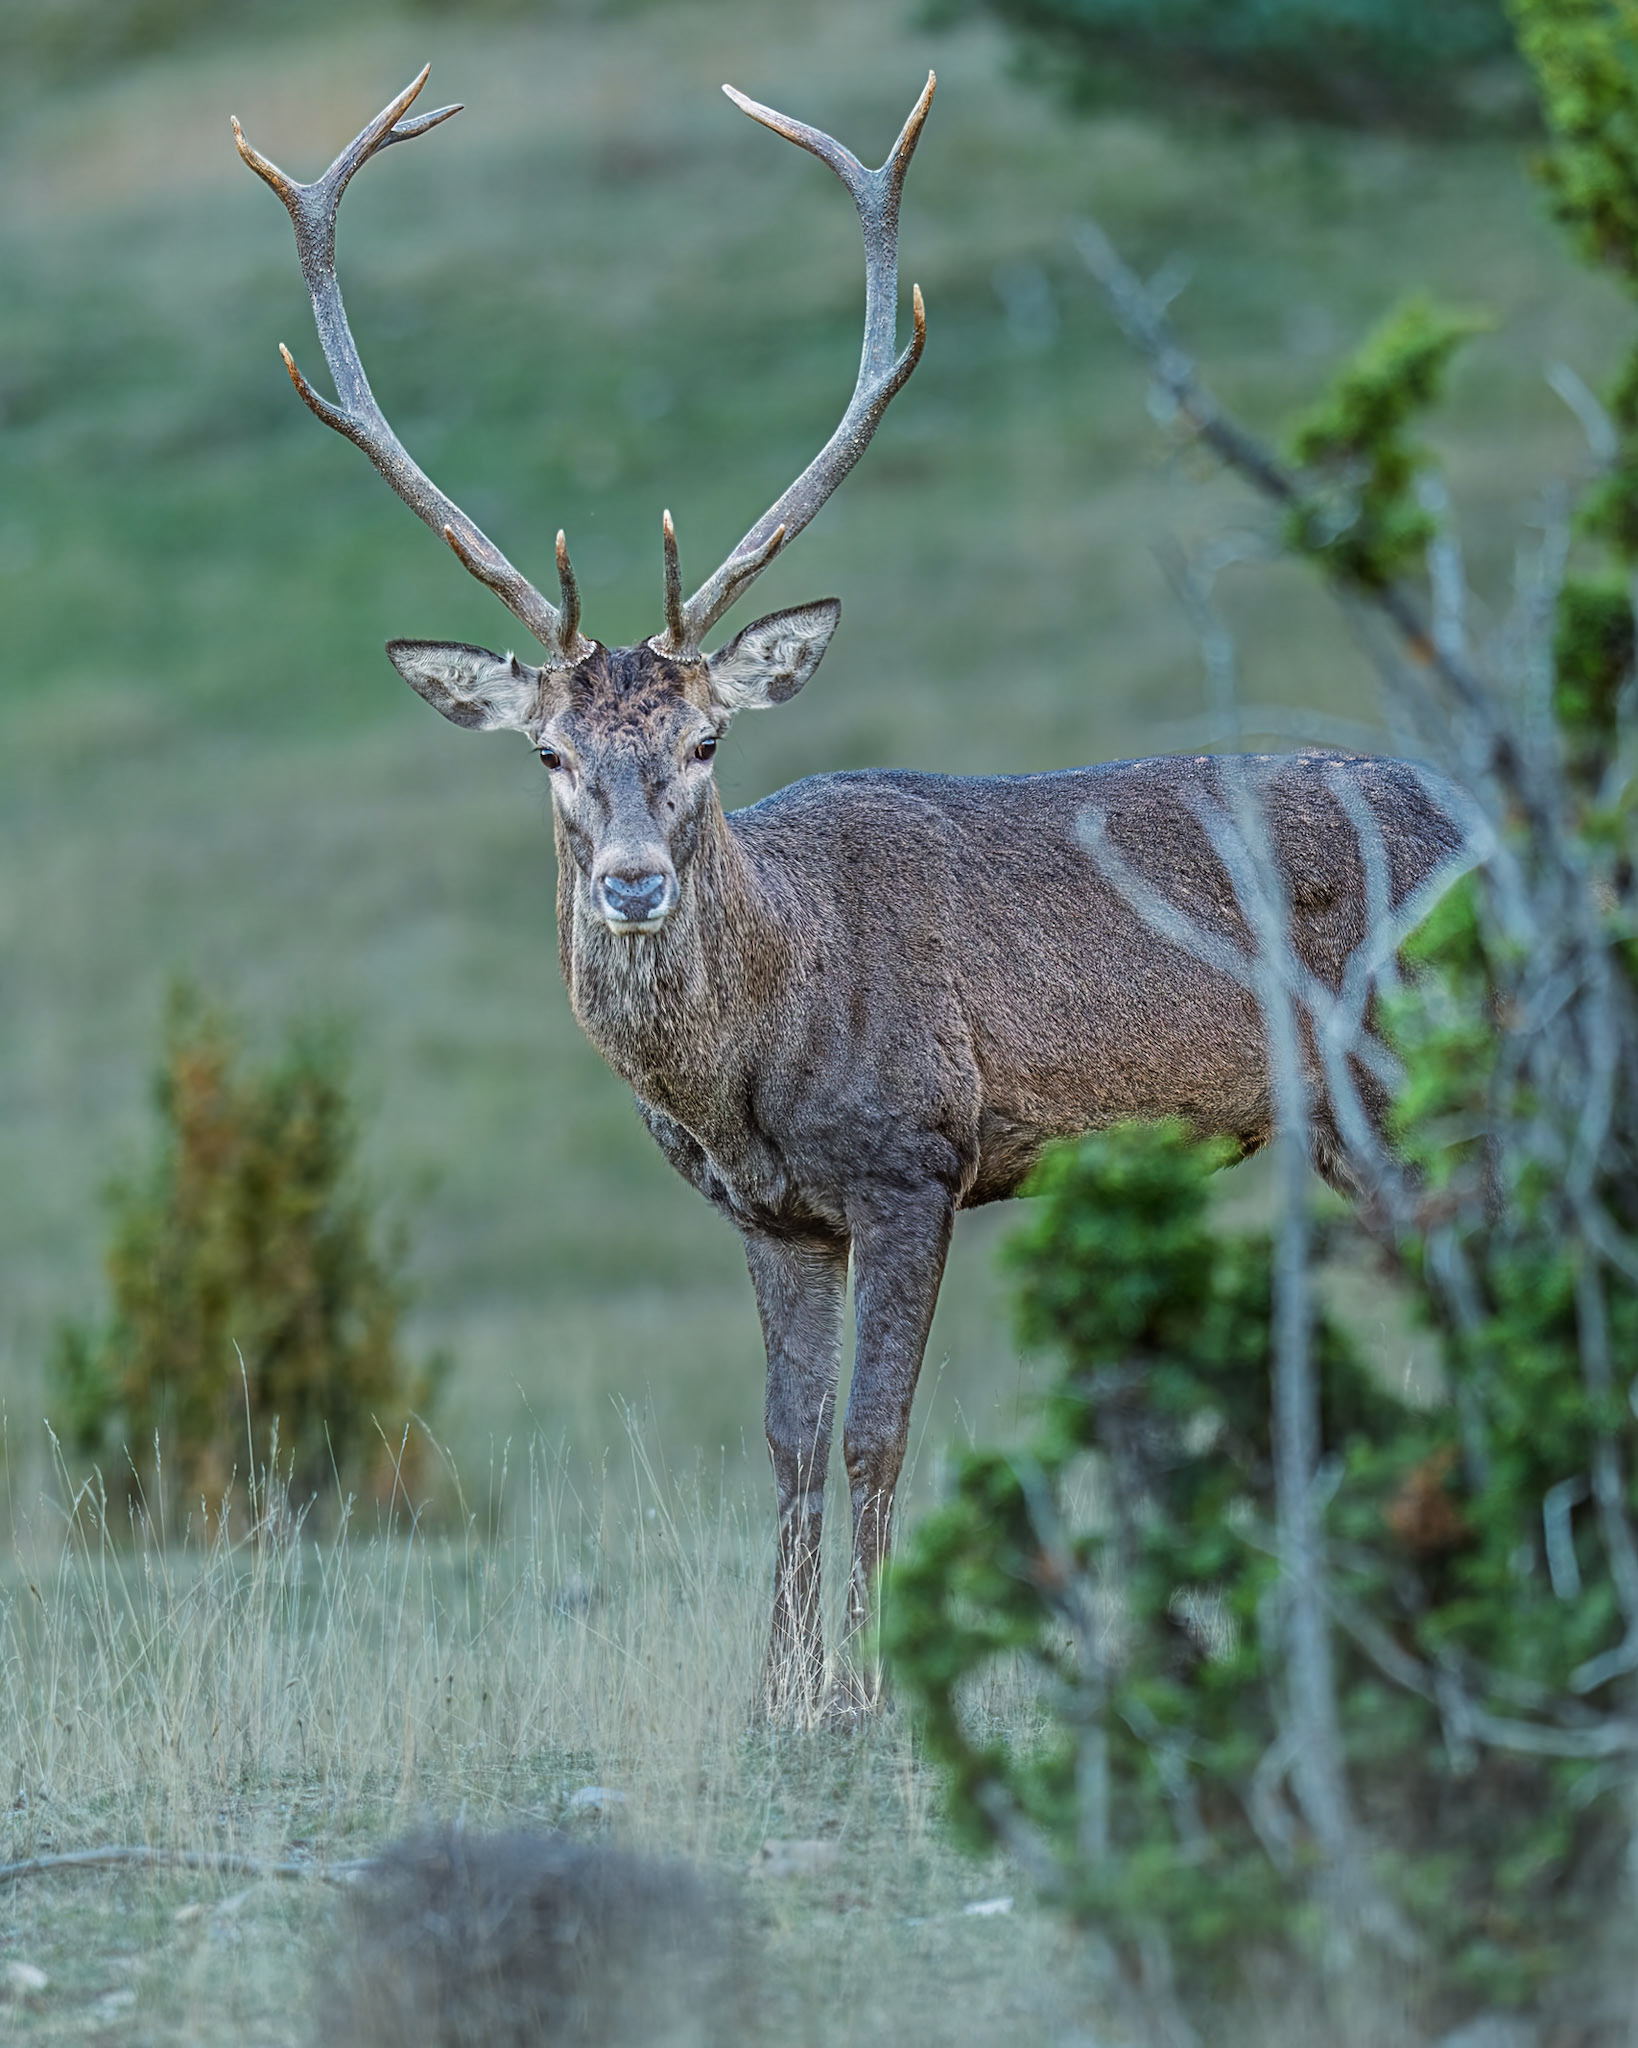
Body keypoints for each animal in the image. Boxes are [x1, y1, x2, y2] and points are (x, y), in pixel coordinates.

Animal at [234, 67, 1472, 1716]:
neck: (754, 1059)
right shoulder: (774, 1217)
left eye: (704, 740)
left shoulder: (915, 1158)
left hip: (1400, 1074)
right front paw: (775, 1695)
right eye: (551, 755)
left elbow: (877, 1438)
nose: (631, 885)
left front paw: (870, 1692)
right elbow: (783, 1447)